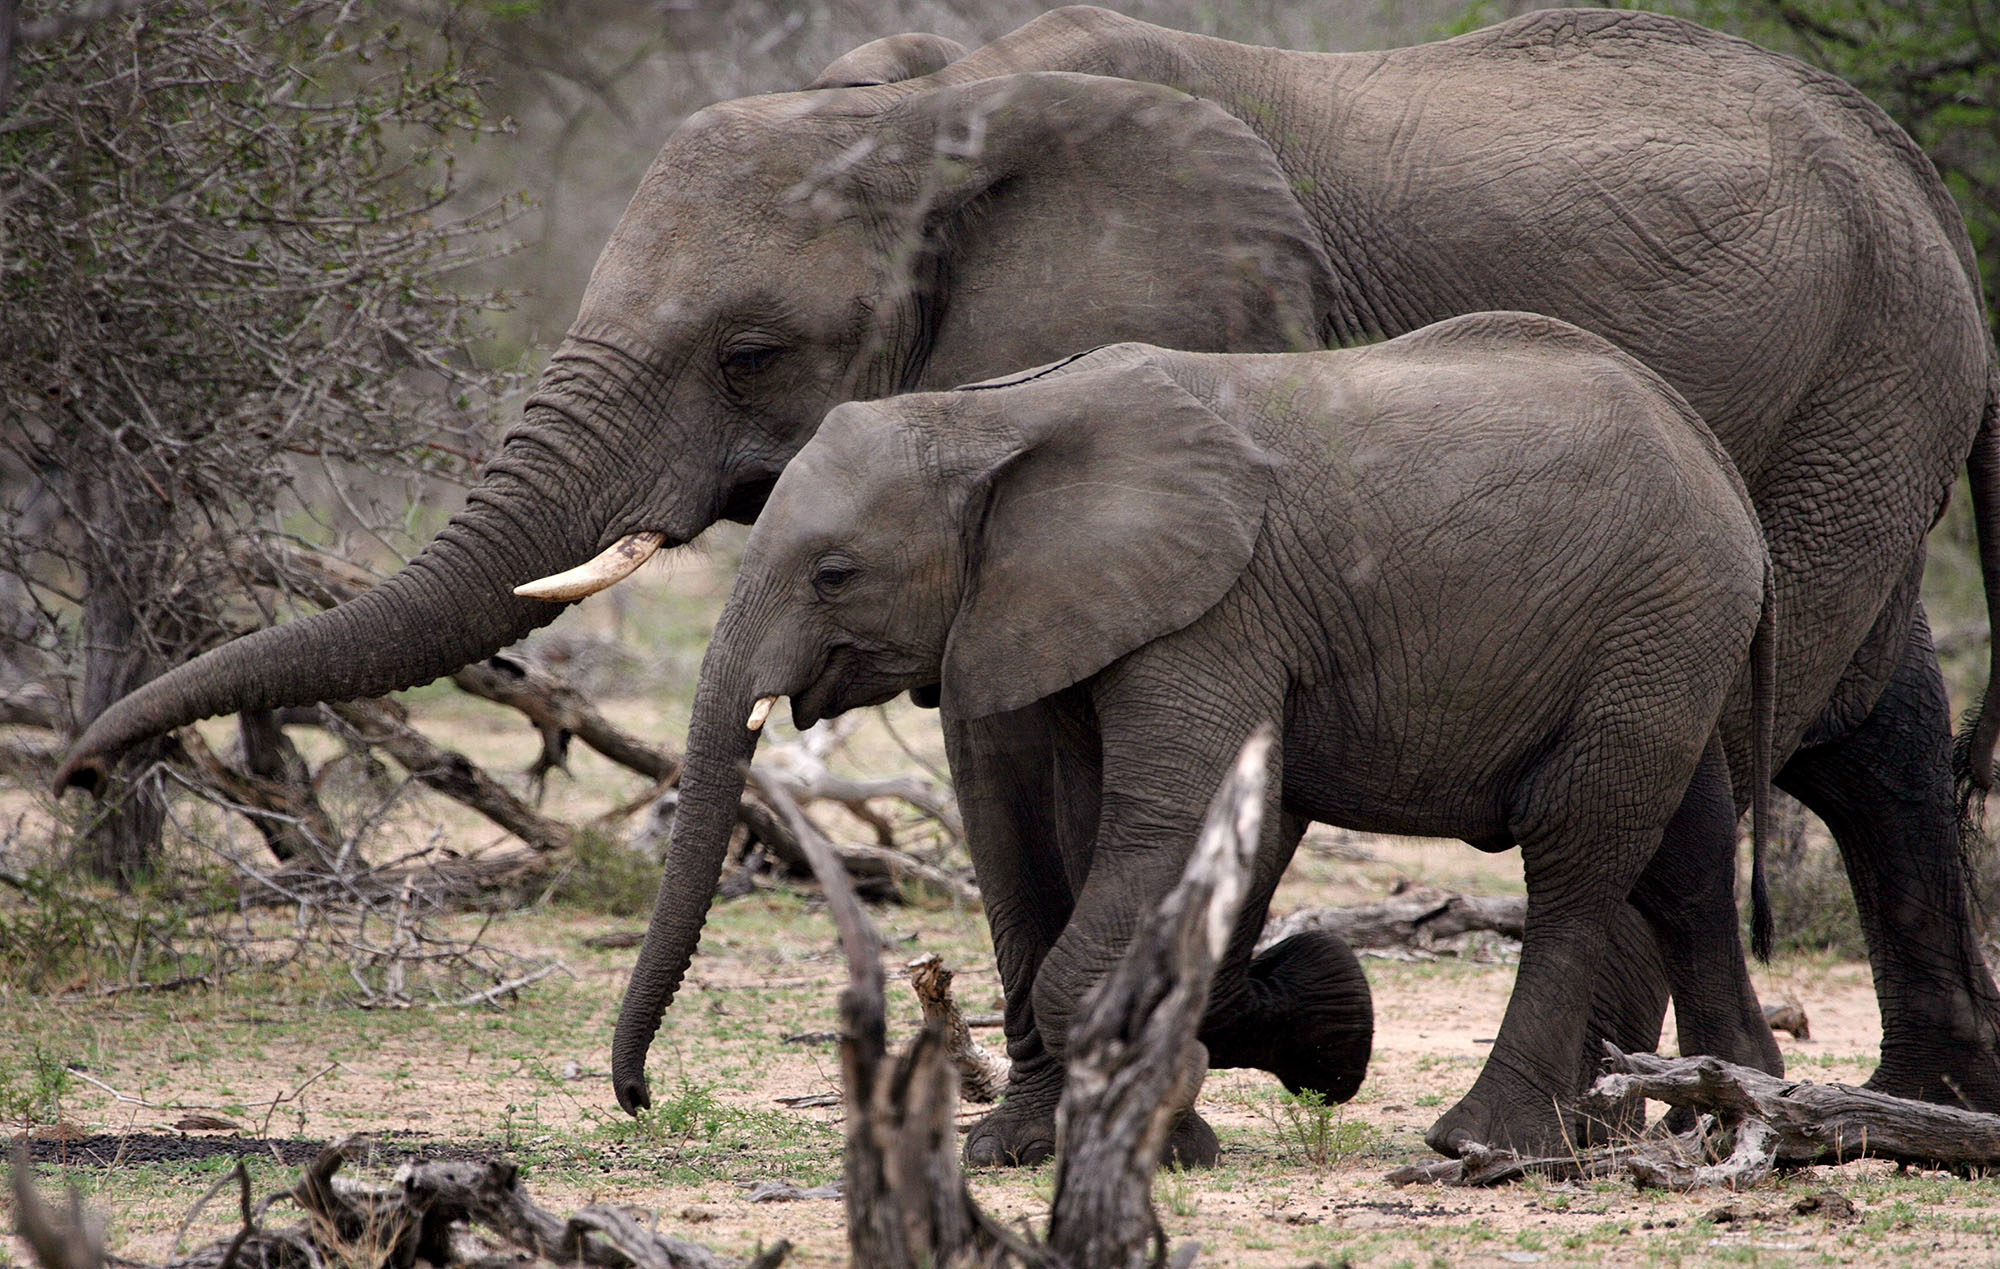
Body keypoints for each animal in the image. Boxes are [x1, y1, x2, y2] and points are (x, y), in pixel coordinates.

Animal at [660, 318, 1782, 1155]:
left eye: (834, 573)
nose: (633, 1095)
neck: (990, 411)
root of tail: (1720, 463)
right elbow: (1117, 831)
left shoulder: (1214, 610)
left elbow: (1170, 822)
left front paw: (1162, 1127)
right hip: (1667, 641)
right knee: (1686, 862)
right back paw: (1730, 1116)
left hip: (1653, 617)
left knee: (1575, 855)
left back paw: (1482, 1144)